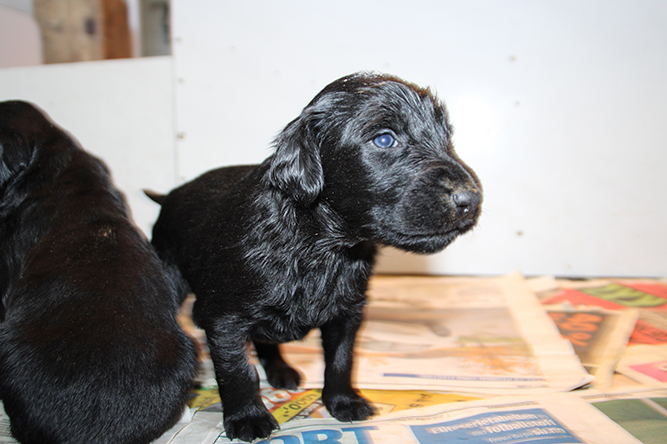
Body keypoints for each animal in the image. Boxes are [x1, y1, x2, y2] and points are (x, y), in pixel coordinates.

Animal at [148, 72, 482, 442]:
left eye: (446, 137)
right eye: (384, 139)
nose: (471, 199)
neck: (322, 247)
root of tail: (170, 195)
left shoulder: (348, 312)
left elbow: (341, 360)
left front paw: (343, 402)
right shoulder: (222, 318)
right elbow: (237, 370)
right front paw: (248, 417)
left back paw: (281, 371)